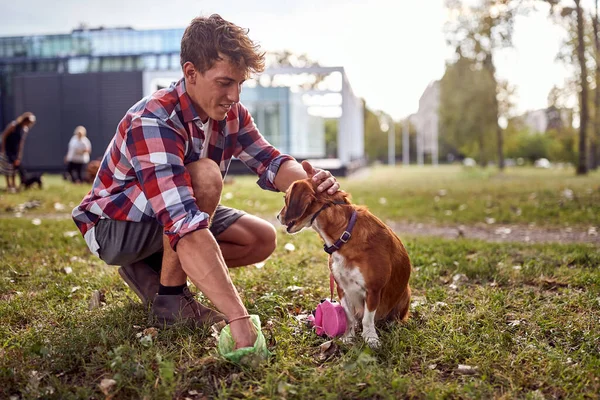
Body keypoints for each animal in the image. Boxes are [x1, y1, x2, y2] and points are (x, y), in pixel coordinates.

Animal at [278, 178, 412, 346]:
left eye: (285, 198)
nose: (277, 216)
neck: (344, 234)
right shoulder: (342, 287)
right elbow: (348, 316)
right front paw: (348, 337)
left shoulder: (373, 290)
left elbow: (367, 319)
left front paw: (370, 339)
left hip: (406, 292)